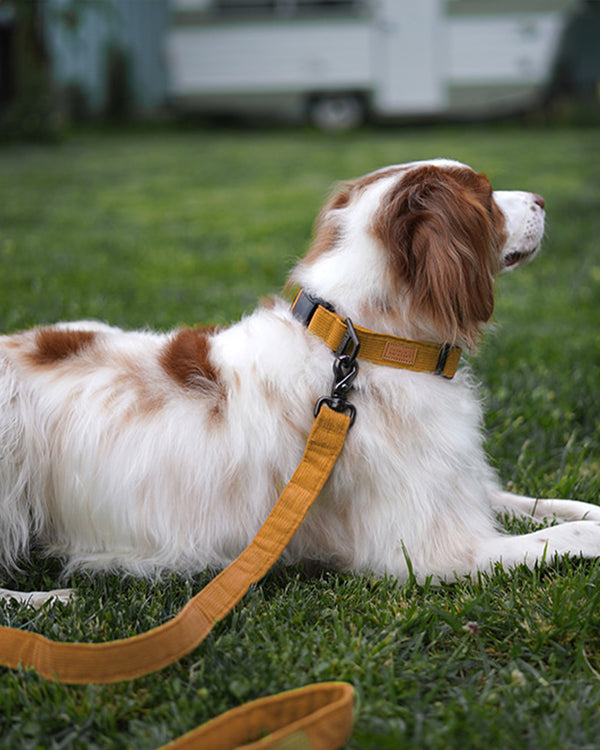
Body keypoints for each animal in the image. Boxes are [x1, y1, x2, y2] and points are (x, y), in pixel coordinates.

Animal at [1, 156, 600, 608]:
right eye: (487, 196)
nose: (542, 199)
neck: (362, 346)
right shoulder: (428, 552)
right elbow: (558, 535)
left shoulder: (460, 490)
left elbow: (546, 505)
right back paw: (45, 601)